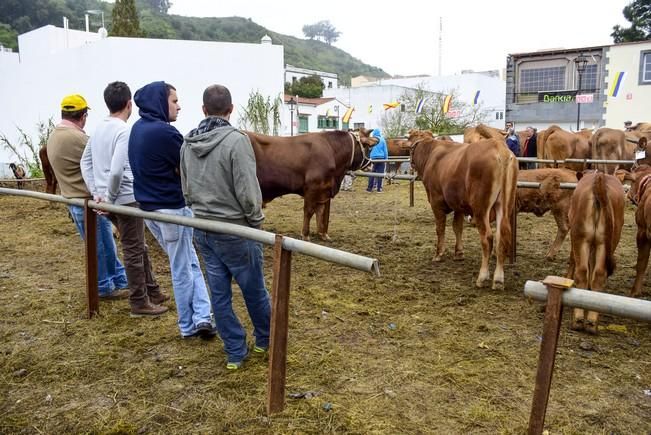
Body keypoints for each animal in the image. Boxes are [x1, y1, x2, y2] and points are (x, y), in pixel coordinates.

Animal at [247, 129, 380, 242]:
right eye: (368, 148)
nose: (371, 165)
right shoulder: (312, 188)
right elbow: (309, 211)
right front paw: (305, 235)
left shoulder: (323, 191)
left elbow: (320, 211)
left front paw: (323, 235)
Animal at [410, 133, 516, 290]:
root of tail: (499, 147)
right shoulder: (458, 206)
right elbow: (457, 227)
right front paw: (459, 253)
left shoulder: (436, 202)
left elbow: (440, 228)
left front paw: (438, 254)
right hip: (504, 205)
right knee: (502, 236)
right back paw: (498, 280)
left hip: (481, 208)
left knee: (487, 238)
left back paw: (482, 277)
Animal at [568, 170, 624, 334]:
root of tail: (600, 178)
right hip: (604, 242)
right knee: (598, 274)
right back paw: (591, 321)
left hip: (581, 238)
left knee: (582, 272)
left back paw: (579, 319)